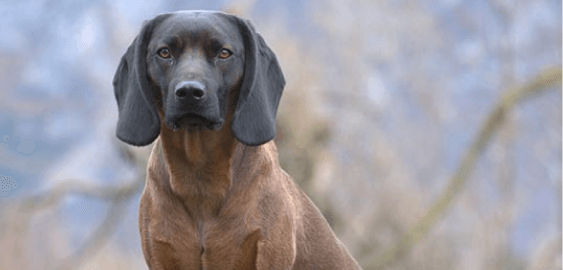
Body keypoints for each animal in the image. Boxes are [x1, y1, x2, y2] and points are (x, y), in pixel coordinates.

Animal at [113, 10, 362, 270]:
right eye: (164, 52)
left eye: (224, 53)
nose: (189, 92)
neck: (199, 180)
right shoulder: (160, 253)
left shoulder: (268, 253)